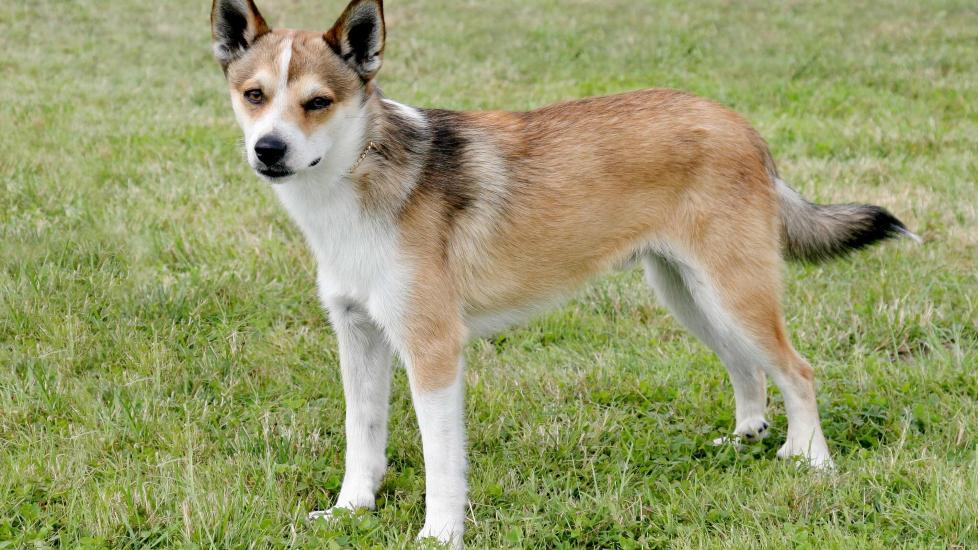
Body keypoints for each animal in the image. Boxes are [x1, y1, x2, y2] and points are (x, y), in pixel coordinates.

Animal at [208, 0, 916, 544]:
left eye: (318, 102)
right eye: (254, 96)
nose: (268, 149)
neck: (362, 176)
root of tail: (740, 125)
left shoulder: (433, 350)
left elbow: (441, 461)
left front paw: (440, 534)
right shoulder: (359, 337)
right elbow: (363, 434)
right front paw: (351, 510)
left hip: (733, 292)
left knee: (798, 370)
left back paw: (810, 461)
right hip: (691, 296)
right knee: (749, 370)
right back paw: (747, 440)